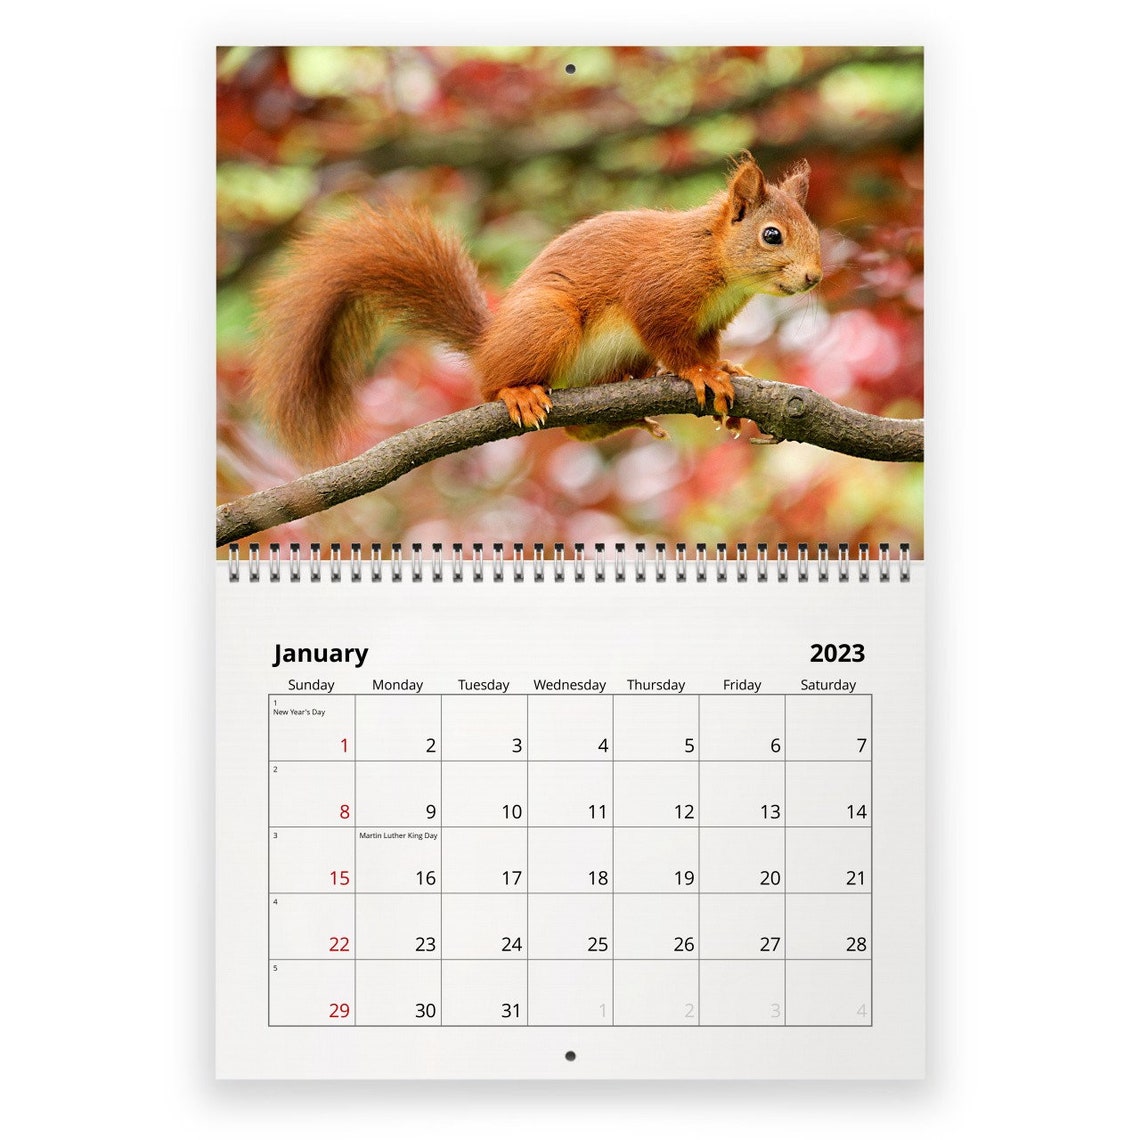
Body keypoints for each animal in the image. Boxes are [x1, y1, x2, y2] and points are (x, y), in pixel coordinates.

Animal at [251, 154, 822, 464]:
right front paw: (702, 373)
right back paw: (517, 391)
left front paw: (724, 366)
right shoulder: (658, 290)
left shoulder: (710, 320)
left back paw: (631, 412)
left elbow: (706, 344)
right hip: (547, 320)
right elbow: (670, 340)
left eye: (814, 231)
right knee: (492, 384)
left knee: (578, 429)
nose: (815, 277)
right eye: (772, 235)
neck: (715, 259)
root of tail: (488, 343)